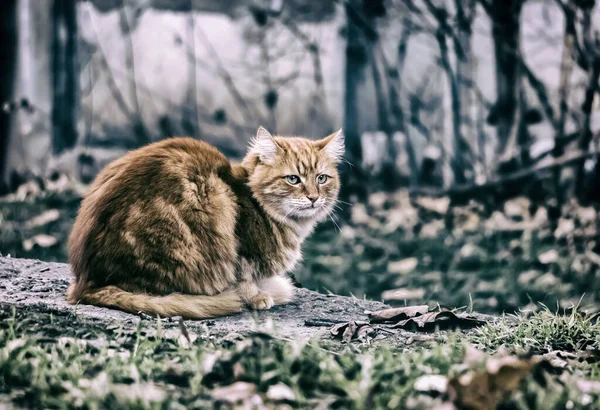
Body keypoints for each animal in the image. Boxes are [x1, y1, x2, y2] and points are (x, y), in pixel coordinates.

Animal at [66, 126, 344, 318]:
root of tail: (87, 282)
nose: (313, 198)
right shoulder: (240, 246)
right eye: (293, 179)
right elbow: (243, 277)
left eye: (321, 178)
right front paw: (256, 297)